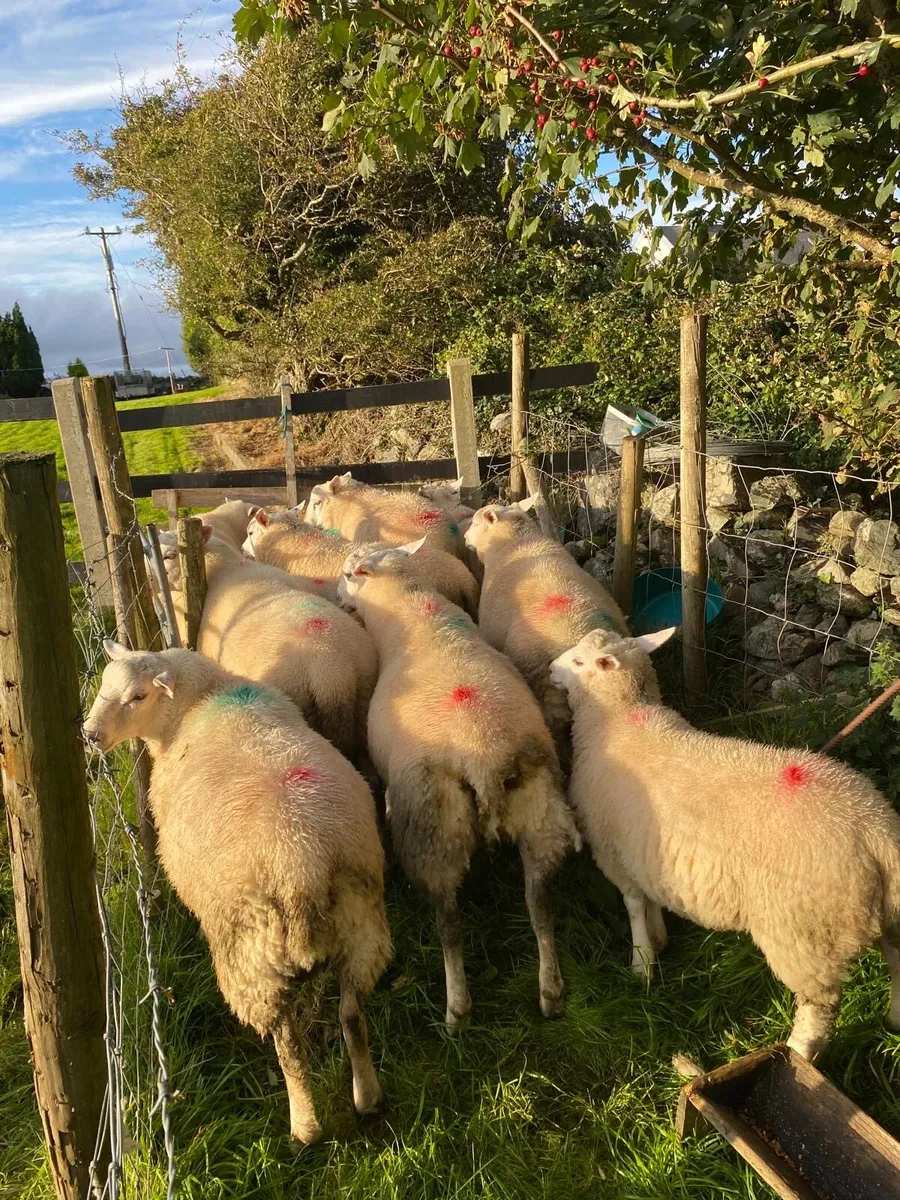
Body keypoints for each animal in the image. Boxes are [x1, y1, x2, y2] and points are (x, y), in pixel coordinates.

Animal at [83, 645, 391, 1144]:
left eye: (138, 696)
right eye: (105, 685)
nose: (89, 736)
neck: (197, 702)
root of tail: (301, 867)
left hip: (251, 955)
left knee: (289, 1045)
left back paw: (304, 1127)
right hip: (361, 924)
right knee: (351, 1016)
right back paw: (367, 1099)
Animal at [338, 538, 578, 1027]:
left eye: (350, 574)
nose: (339, 598)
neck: (416, 613)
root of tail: (484, 755)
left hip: (433, 827)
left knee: (449, 923)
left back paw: (457, 1008)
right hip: (540, 808)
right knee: (540, 904)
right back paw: (550, 992)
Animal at [550, 625, 900, 1061]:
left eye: (579, 661)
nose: (550, 670)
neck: (619, 718)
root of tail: (876, 835)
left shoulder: (612, 848)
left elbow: (633, 906)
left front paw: (641, 962)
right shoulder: (644, 848)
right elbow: (651, 898)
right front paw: (659, 939)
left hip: (807, 938)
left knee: (819, 1010)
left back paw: (796, 1055)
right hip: (888, 912)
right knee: (897, 959)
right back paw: (894, 1019)